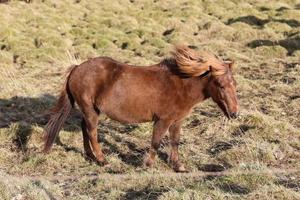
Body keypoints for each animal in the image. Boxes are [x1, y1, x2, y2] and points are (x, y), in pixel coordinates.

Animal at [42, 45, 239, 172]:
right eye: (220, 85)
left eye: (234, 84)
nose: (234, 113)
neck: (180, 84)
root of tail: (77, 68)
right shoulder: (163, 120)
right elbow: (156, 142)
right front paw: (148, 165)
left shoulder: (177, 121)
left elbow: (175, 141)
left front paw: (178, 166)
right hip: (90, 110)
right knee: (91, 132)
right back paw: (102, 160)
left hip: (91, 110)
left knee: (84, 129)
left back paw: (90, 156)